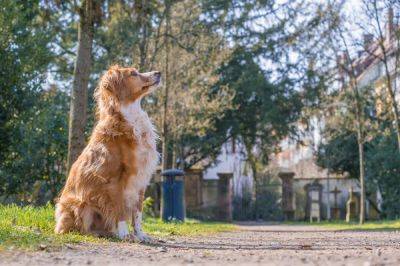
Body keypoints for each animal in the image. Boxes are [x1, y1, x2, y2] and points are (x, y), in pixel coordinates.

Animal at [54, 64, 161, 241]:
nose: (158, 73)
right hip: (81, 204)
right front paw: (125, 234)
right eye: (133, 73)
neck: (131, 117)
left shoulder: (141, 179)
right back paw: (101, 234)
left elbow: (138, 213)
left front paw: (140, 234)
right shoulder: (115, 179)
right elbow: (120, 210)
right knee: (80, 229)